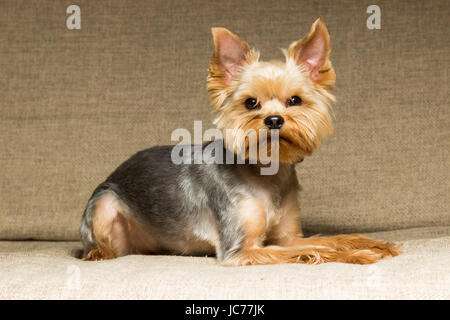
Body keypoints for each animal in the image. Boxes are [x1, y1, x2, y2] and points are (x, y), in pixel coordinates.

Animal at [80, 18, 400, 264]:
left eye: (295, 100)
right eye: (250, 103)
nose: (274, 120)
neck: (267, 171)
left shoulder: (288, 237)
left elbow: (329, 240)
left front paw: (370, 243)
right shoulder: (242, 249)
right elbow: (316, 250)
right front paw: (360, 255)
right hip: (104, 204)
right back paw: (99, 254)